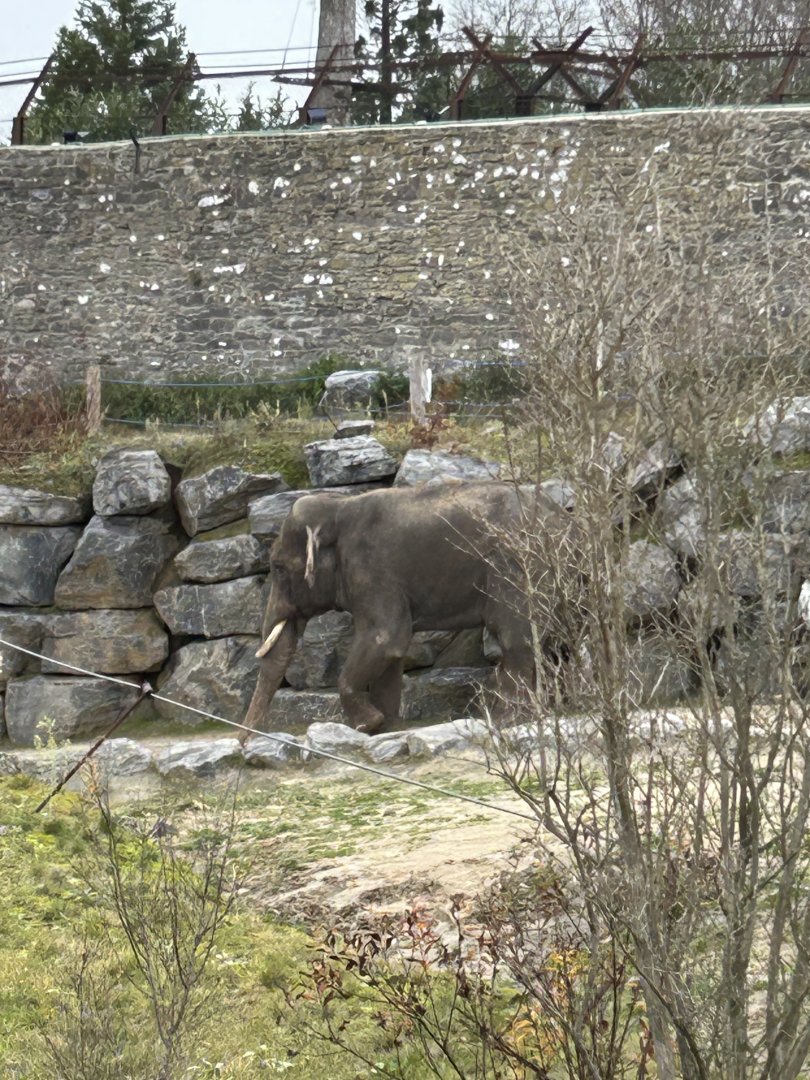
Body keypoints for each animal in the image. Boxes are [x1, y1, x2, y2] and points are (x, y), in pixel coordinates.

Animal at [243, 480, 578, 740]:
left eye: (278, 568)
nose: (245, 744)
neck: (337, 507)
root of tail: (562, 518)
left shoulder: (372, 569)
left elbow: (386, 639)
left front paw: (368, 725)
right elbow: (391, 653)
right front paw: (387, 727)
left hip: (517, 567)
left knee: (515, 637)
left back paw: (506, 720)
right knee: (562, 637)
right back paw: (566, 705)